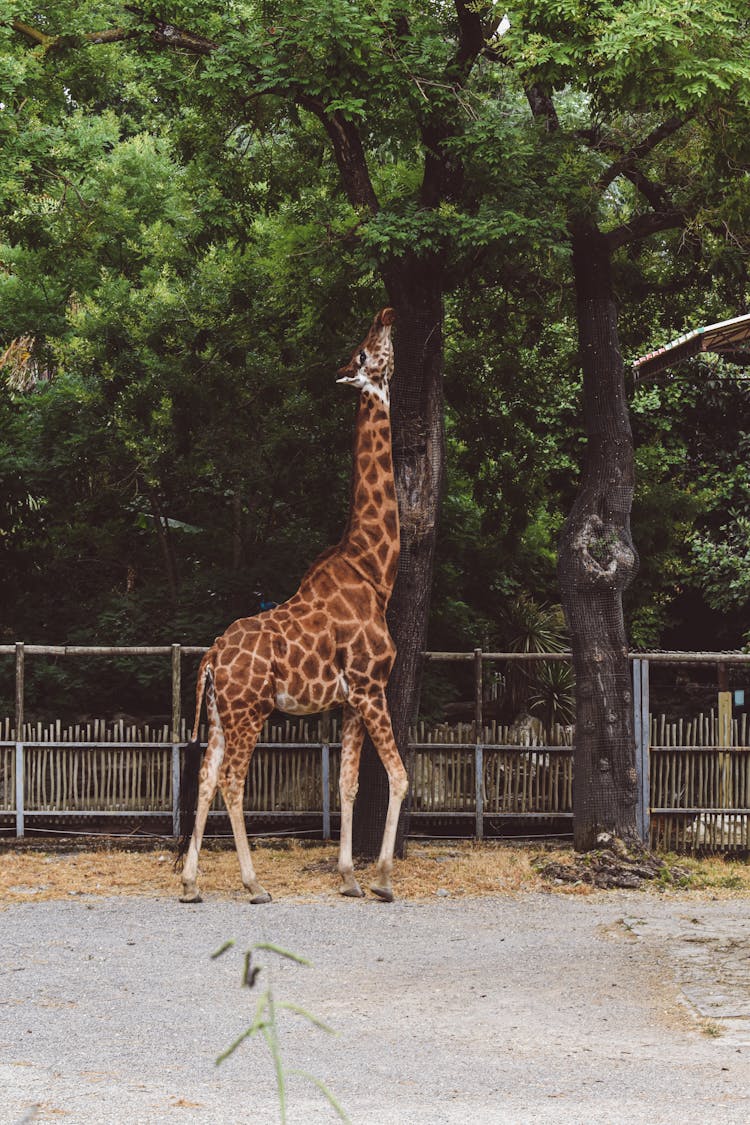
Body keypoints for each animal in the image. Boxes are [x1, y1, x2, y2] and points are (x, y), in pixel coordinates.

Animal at [176, 308, 407, 904]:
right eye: (366, 352)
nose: (388, 314)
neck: (375, 572)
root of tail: (210, 658)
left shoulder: (350, 700)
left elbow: (349, 784)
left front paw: (350, 878)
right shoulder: (372, 686)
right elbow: (398, 777)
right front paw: (383, 880)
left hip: (220, 715)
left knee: (206, 778)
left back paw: (190, 884)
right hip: (250, 710)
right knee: (231, 780)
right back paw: (254, 884)